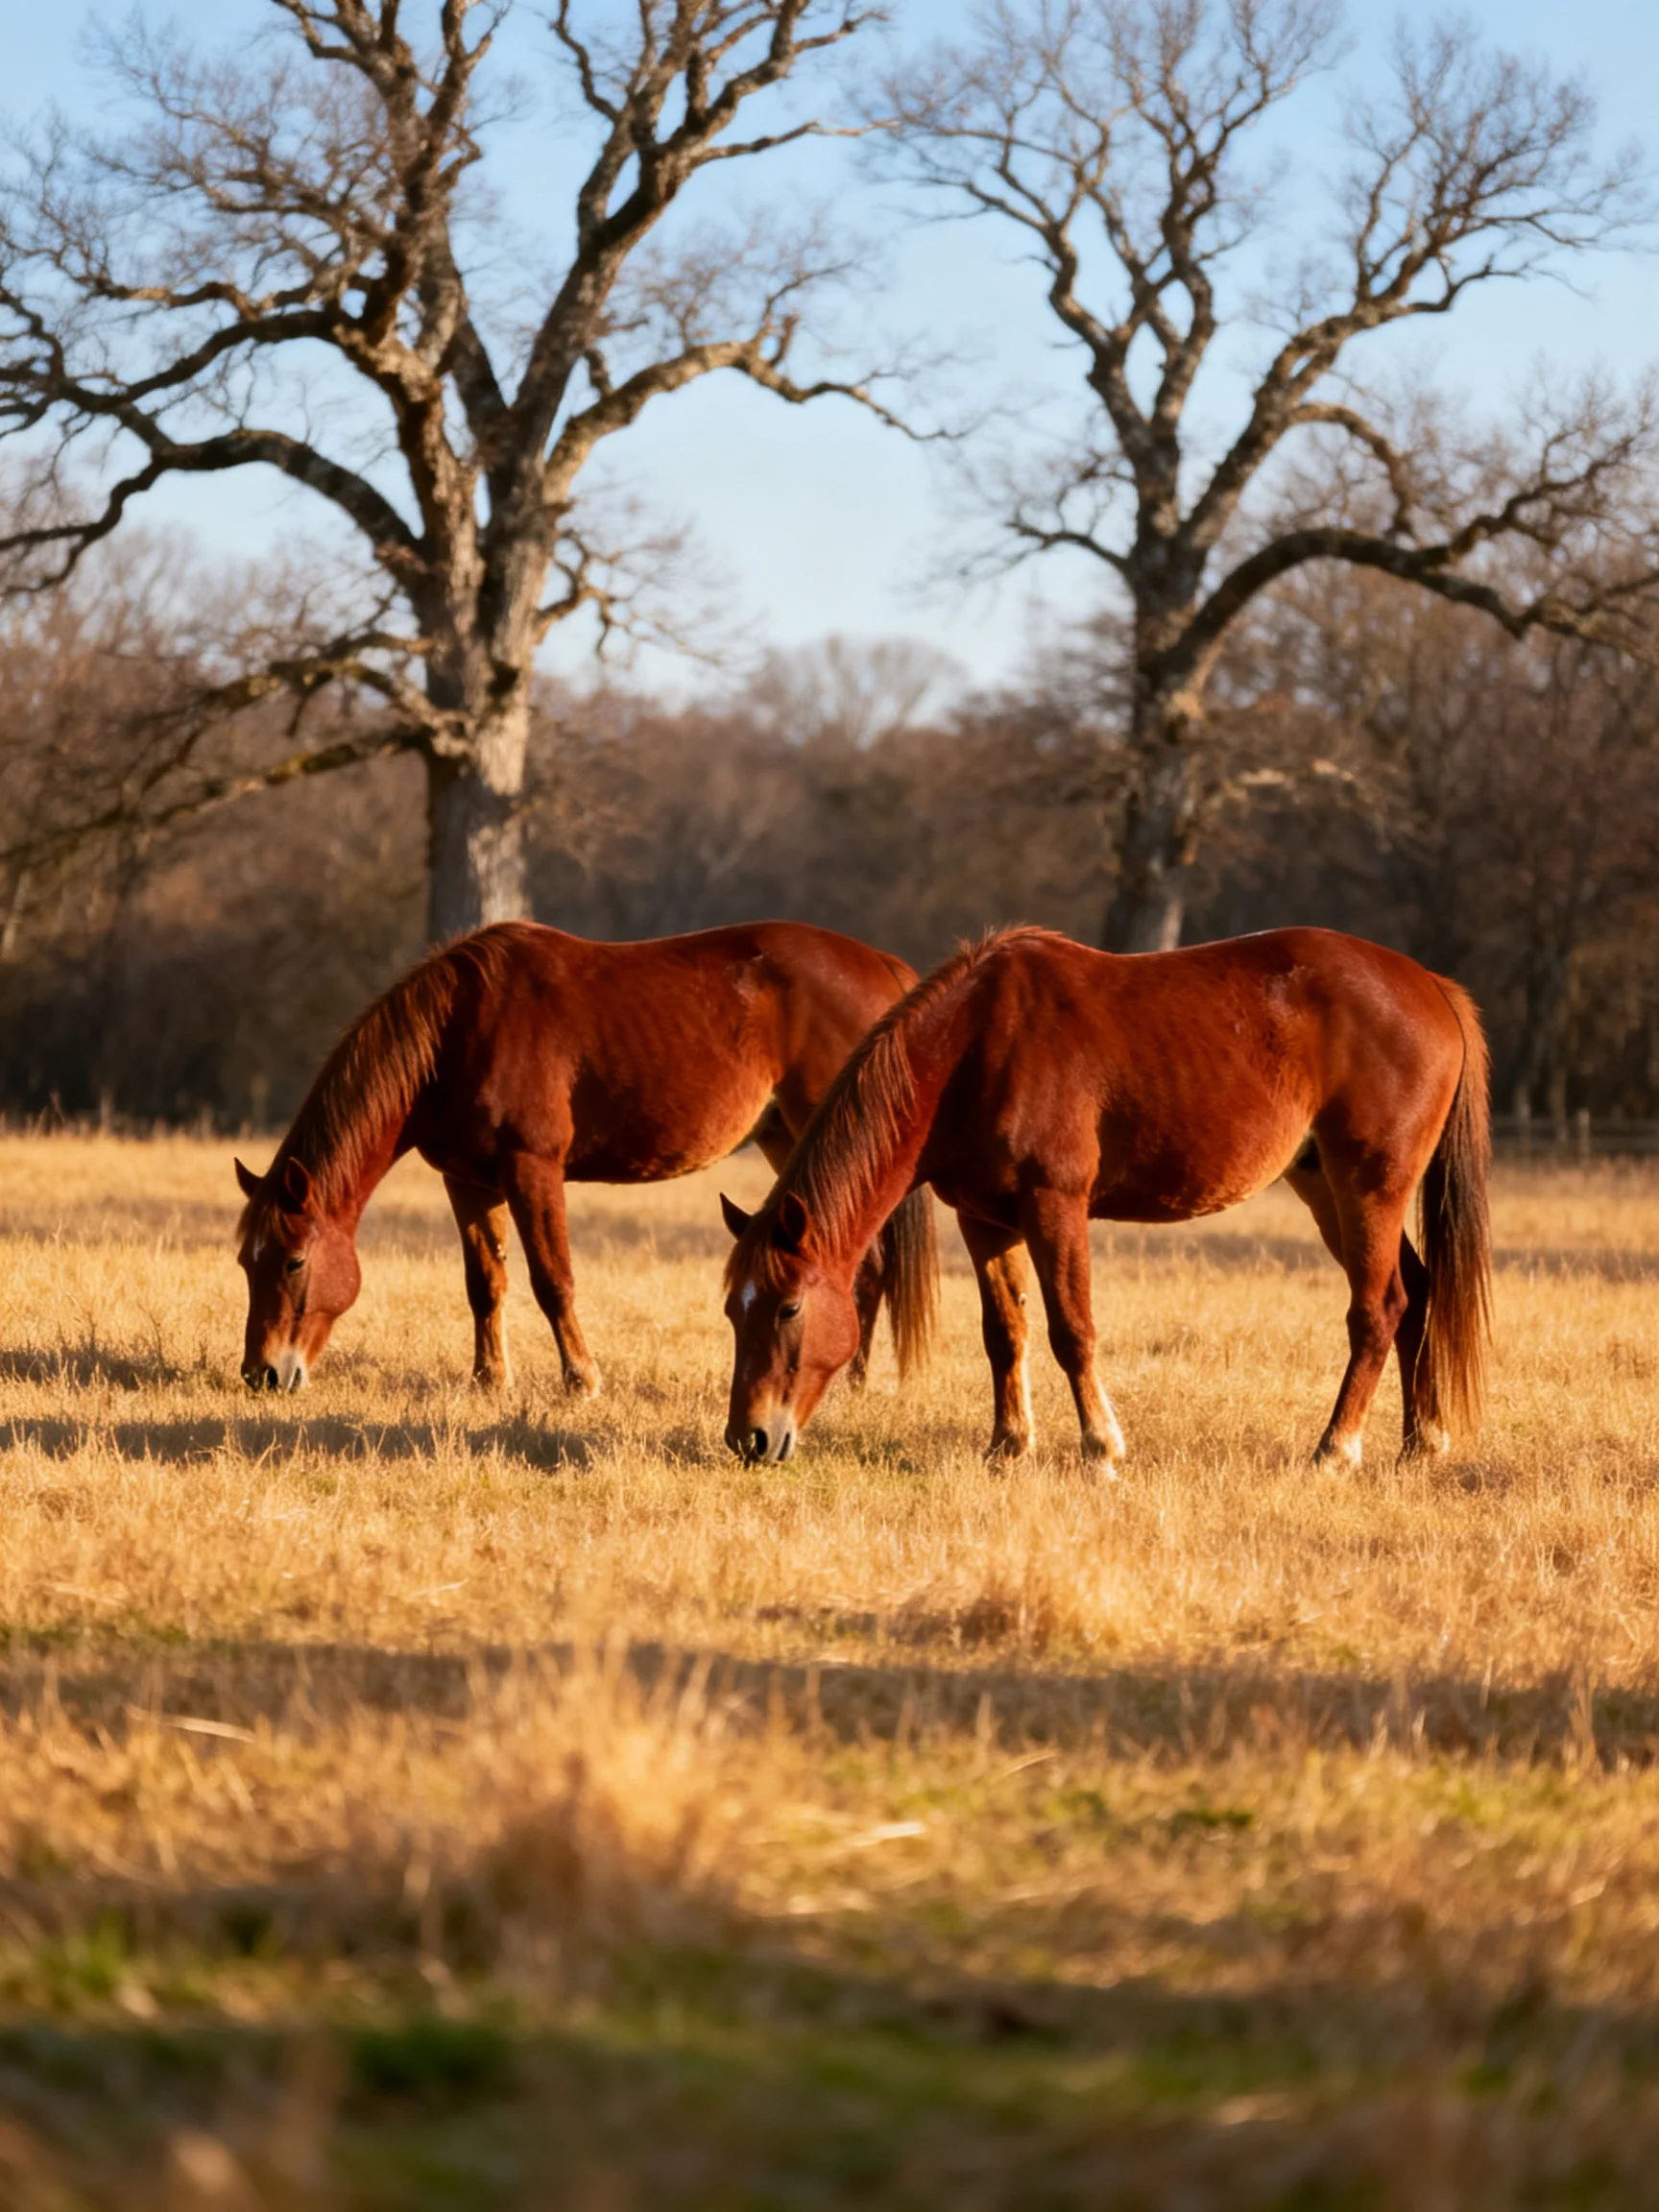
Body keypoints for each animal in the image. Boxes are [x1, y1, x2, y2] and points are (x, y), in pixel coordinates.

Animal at [234, 920, 938, 1395]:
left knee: (868, 1267)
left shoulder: (533, 1168)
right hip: (787, 1139)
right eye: (246, 1261)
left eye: (295, 1260)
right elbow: (484, 1284)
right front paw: (490, 1379)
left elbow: (553, 1279)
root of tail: (882, 965)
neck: (462, 1027)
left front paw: (582, 1379)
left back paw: (849, 1382)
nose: (262, 1372)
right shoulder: (468, 1182)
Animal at [722, 925, 1490, 1470]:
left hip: (1369, 1186)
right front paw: (1008, 1446)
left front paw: (1102, 1448)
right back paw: (1421, 1442)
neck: (975, 1049)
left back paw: (1335, 1449)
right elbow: (1005, 1332)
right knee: (1417, 1292)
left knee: (1379, 1308)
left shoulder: (1055, 1206)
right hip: (1321, 1185)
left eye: (789, 1307)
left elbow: (1071, 1329)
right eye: (734, 1310)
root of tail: (1429, 985)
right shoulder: (982, 1219)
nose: (748, 1438)